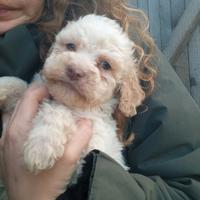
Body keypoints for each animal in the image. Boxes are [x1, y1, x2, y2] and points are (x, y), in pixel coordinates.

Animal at [0, 13, 145, 183]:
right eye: (70, 46)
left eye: (105, 65)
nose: (75, 71)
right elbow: (19, 84)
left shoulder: (84, 157)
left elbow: (58, 111)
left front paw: (41, 147)